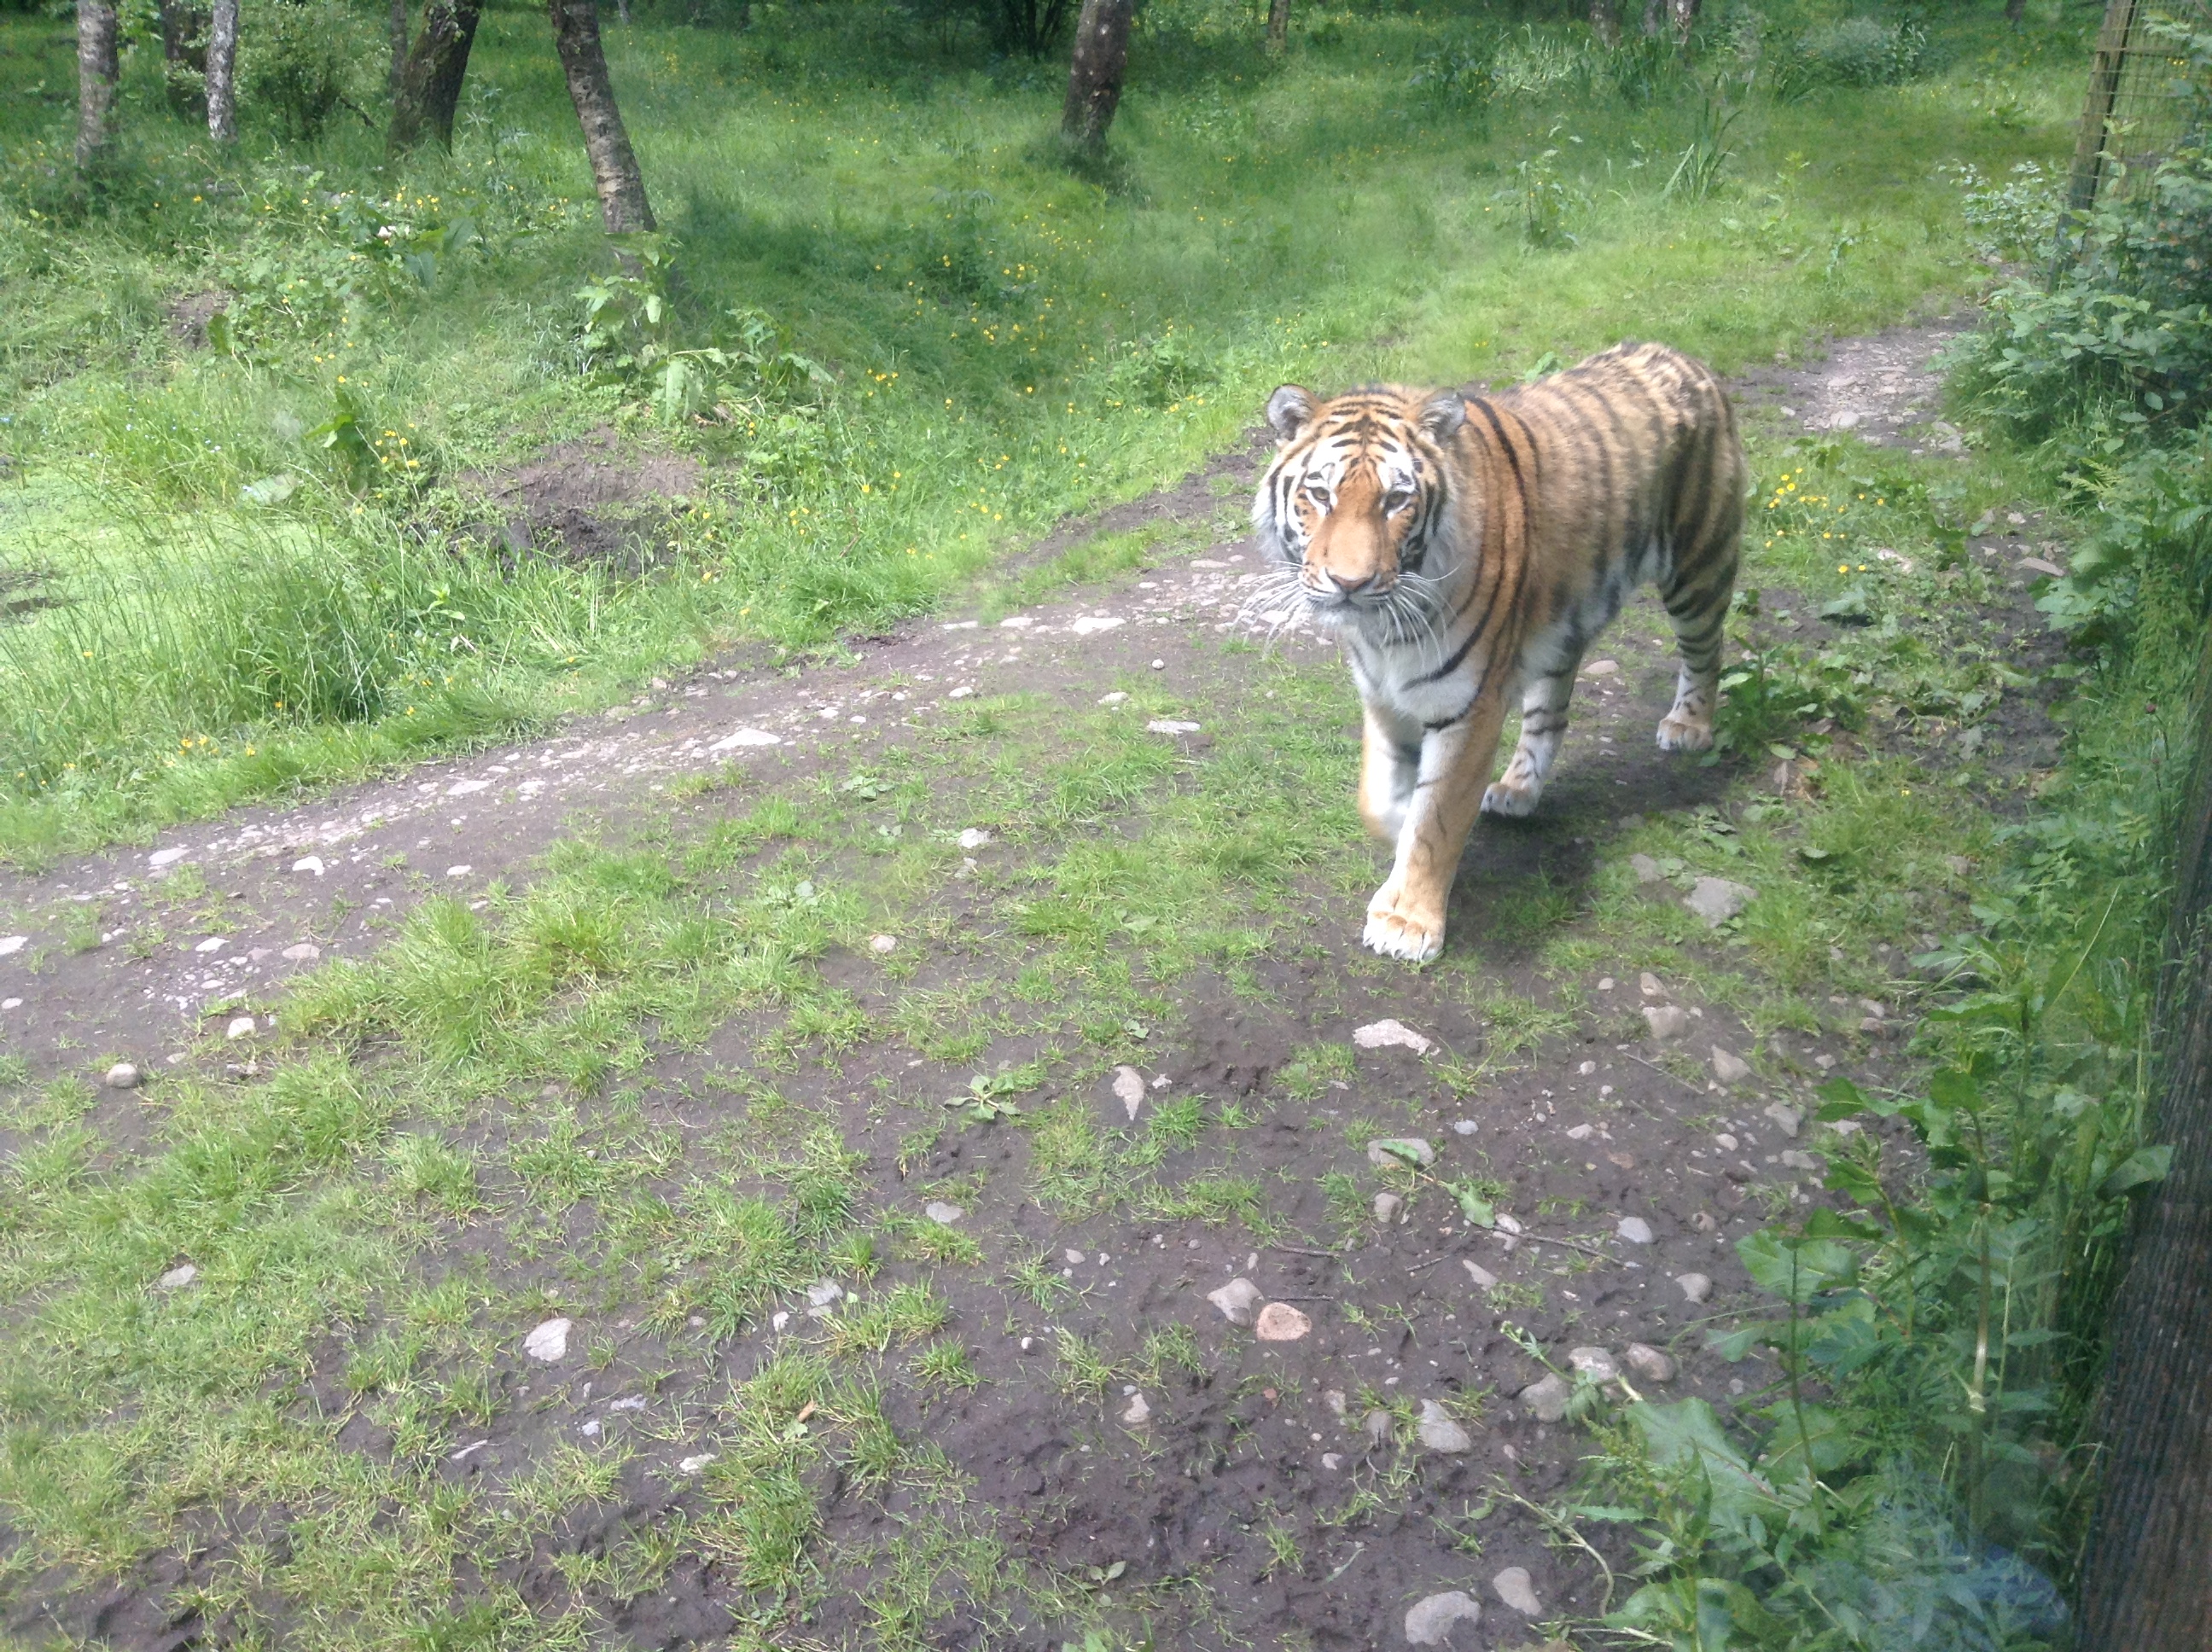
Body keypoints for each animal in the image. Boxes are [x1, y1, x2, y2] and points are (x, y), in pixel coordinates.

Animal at [1252, 341, 1744, 963]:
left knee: (1707, 648)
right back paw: (1517, 789)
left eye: (1396, 501)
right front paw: (1396, 827)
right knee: (1550, 711)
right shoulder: (1383, 697)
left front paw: (1406, 919)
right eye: (1320, 495)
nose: (1349, 584)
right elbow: (1379, 796)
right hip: (1563, 620)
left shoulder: (1469, 706)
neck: (1383, 627)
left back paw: (1689, 726)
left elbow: (1436, 817)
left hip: (1698, 566)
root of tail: (1685, 357)